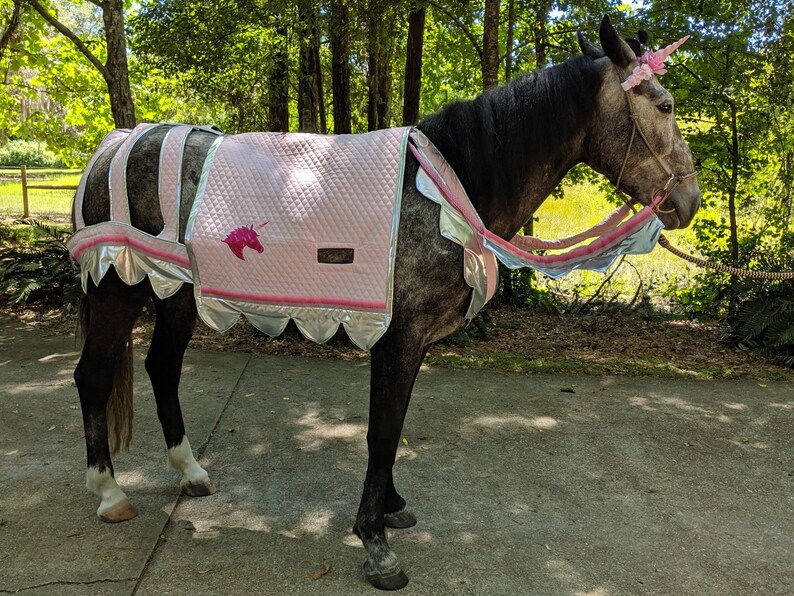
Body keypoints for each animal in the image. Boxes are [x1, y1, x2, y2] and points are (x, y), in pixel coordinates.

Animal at [70, 16, 700, 590]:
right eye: (665, 104)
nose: (689, 201)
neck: (446, 191)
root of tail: (113, 146)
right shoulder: (397, 338)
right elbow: (381, 430)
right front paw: (374, 542)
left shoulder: (412, 342)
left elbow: (393, 431)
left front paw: (390, 509)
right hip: (116, 289)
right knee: (93, 376)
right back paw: (108, 492)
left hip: (175, 292)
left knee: (161, 368)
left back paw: (190, 471)